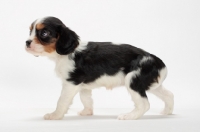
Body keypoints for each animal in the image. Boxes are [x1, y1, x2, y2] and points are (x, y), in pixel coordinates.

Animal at [25, 16, 173, 119]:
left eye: (44, 33)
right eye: (30, 31)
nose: (27, 42)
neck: (68, 53)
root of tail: (156, 60)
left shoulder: (70, 83)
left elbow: (61, 101)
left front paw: (55, 115)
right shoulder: (83, 85)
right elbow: (86, 99)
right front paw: (87, 112)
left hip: (133, 80)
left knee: (144, 104)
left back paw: (129, 116)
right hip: (151, 84)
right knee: (169, 95)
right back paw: (167, 111)